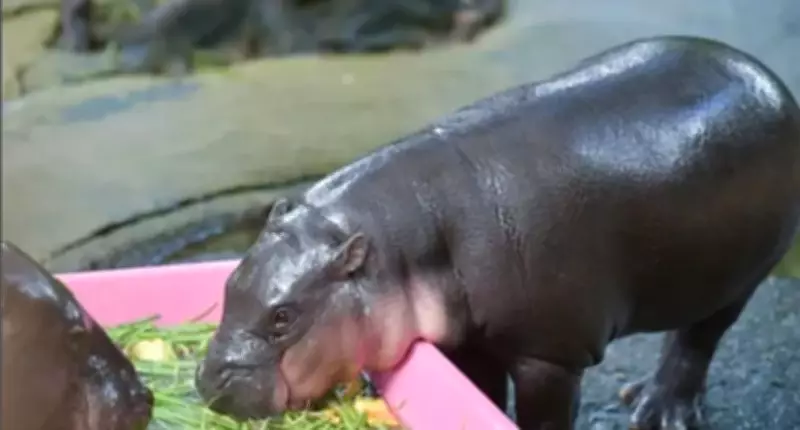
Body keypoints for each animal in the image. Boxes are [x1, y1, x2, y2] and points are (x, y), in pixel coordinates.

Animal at [195, 35, 800, 430]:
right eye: (229, 284)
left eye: (283, 317)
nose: (206, 383)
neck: (401, 245)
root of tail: (767, 76)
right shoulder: (468, 339)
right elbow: (481, 392)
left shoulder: (551, 357)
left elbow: (543, 417)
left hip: (746, 271)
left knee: (699, 338)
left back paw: (658, 412)